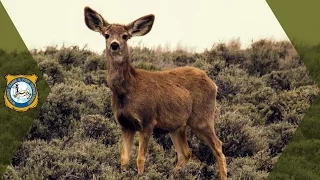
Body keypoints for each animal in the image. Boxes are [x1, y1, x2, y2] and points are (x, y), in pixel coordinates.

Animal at [83, 6, 228, 179]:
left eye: (125, 36)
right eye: (106, 34)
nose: (114, 44)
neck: (128, 89)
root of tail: (213, 83)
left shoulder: (148, 121)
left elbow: (140, 158)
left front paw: (141, 175)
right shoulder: (125, 124)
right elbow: (124, 158)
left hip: (202, 118)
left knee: (218, 146)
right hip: (177, 126)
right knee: (185, 152)